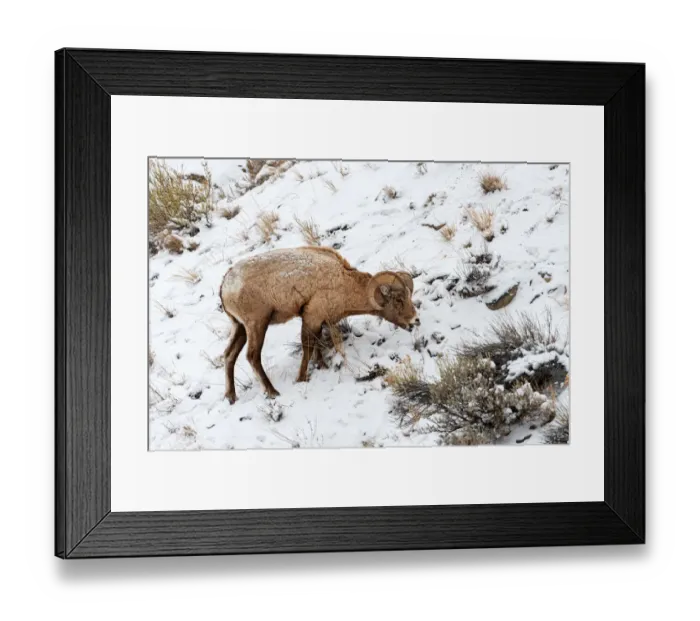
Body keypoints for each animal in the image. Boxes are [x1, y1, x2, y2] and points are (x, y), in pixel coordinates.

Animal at [219, 246, 420, 403]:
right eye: (399, 300)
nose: (415, 321)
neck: (343, 283)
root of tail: (225, 286)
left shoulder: (319, 321)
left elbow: (317, 344)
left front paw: (322, 366)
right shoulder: (311, 317)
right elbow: (308, 347)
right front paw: (301, 379)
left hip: (240, 328)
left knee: (229, 355)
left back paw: (231, 396)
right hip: (257, 325)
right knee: (252, 356)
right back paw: (273, 392)